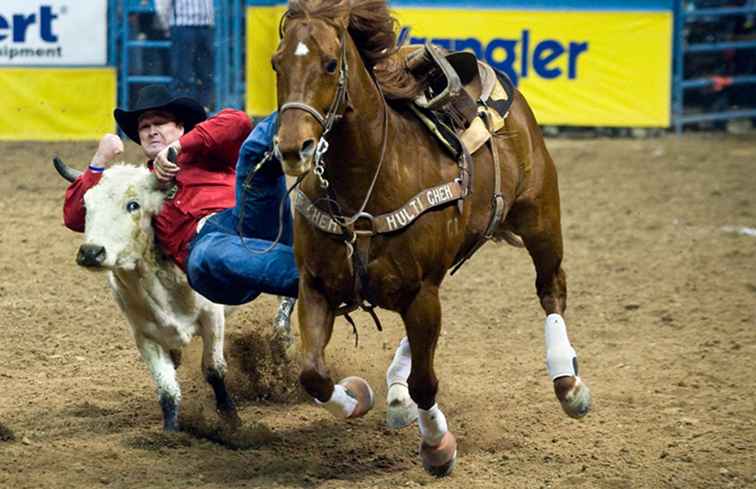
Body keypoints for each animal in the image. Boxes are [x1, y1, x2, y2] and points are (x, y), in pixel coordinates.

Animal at [272, 0, 592, 474]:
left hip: (540, 219)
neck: (366, 181)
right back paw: (396, 394)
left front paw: (438, 445)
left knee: (551, 289)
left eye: (330, 64)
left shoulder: (421, 292)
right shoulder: (316, 286)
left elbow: (426, 382)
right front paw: (358, 396)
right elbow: (313, 375)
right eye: (276, 63)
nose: (294, 149)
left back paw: (568, 383)